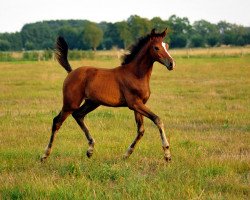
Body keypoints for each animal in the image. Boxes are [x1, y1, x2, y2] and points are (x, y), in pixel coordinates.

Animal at [41, 28, 175, 162]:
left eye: (167, 46)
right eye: (156, 47)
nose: (171, 64)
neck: (135, 75)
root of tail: (71, 72)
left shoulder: (139, 105)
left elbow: (141, 130)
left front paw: (126, 154)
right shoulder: (134, 104)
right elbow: (157, 119)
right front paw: (167, 153)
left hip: (92, 103)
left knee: (78, 115)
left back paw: (90, 150)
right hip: (70, 103)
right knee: (57, 121)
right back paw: (45, 155)